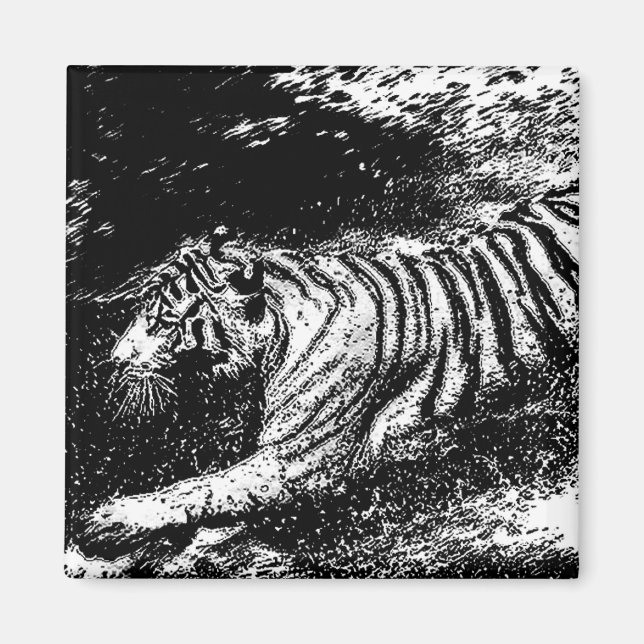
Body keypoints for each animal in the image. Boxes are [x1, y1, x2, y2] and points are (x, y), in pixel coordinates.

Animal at [77, 186, 578, 562]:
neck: (277, 337)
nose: (114, 359)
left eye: (164, 320)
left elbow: (204, 488)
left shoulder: (298, 460)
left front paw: (107, 522)